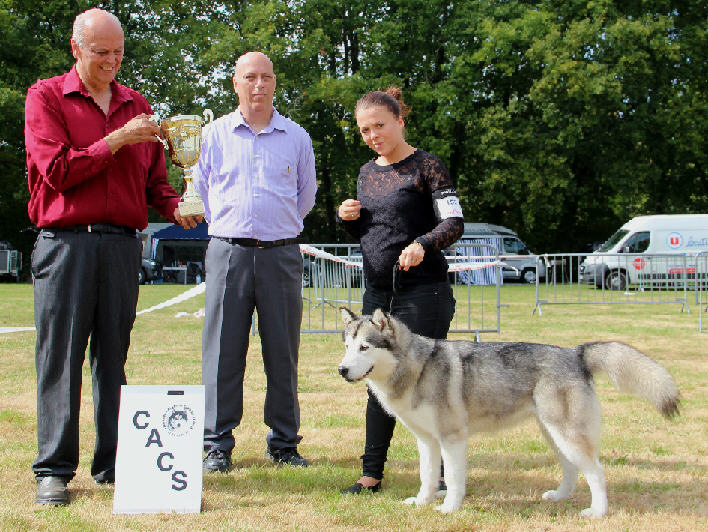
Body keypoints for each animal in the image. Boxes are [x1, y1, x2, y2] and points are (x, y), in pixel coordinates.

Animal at [338, 306, 680, 516]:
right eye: (347, 347)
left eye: (365, 347)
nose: (341, 370)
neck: (417, 368)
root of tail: (576, 353)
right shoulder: (428, 441)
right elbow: (427, 476)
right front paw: (422, 502)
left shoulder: (452, 439)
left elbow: (455, 480)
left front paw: (449, 509)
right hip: (553, 435)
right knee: (572, 469)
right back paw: (560, 497)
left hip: (567, 434)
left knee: (596, 471)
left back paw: (597, 512)